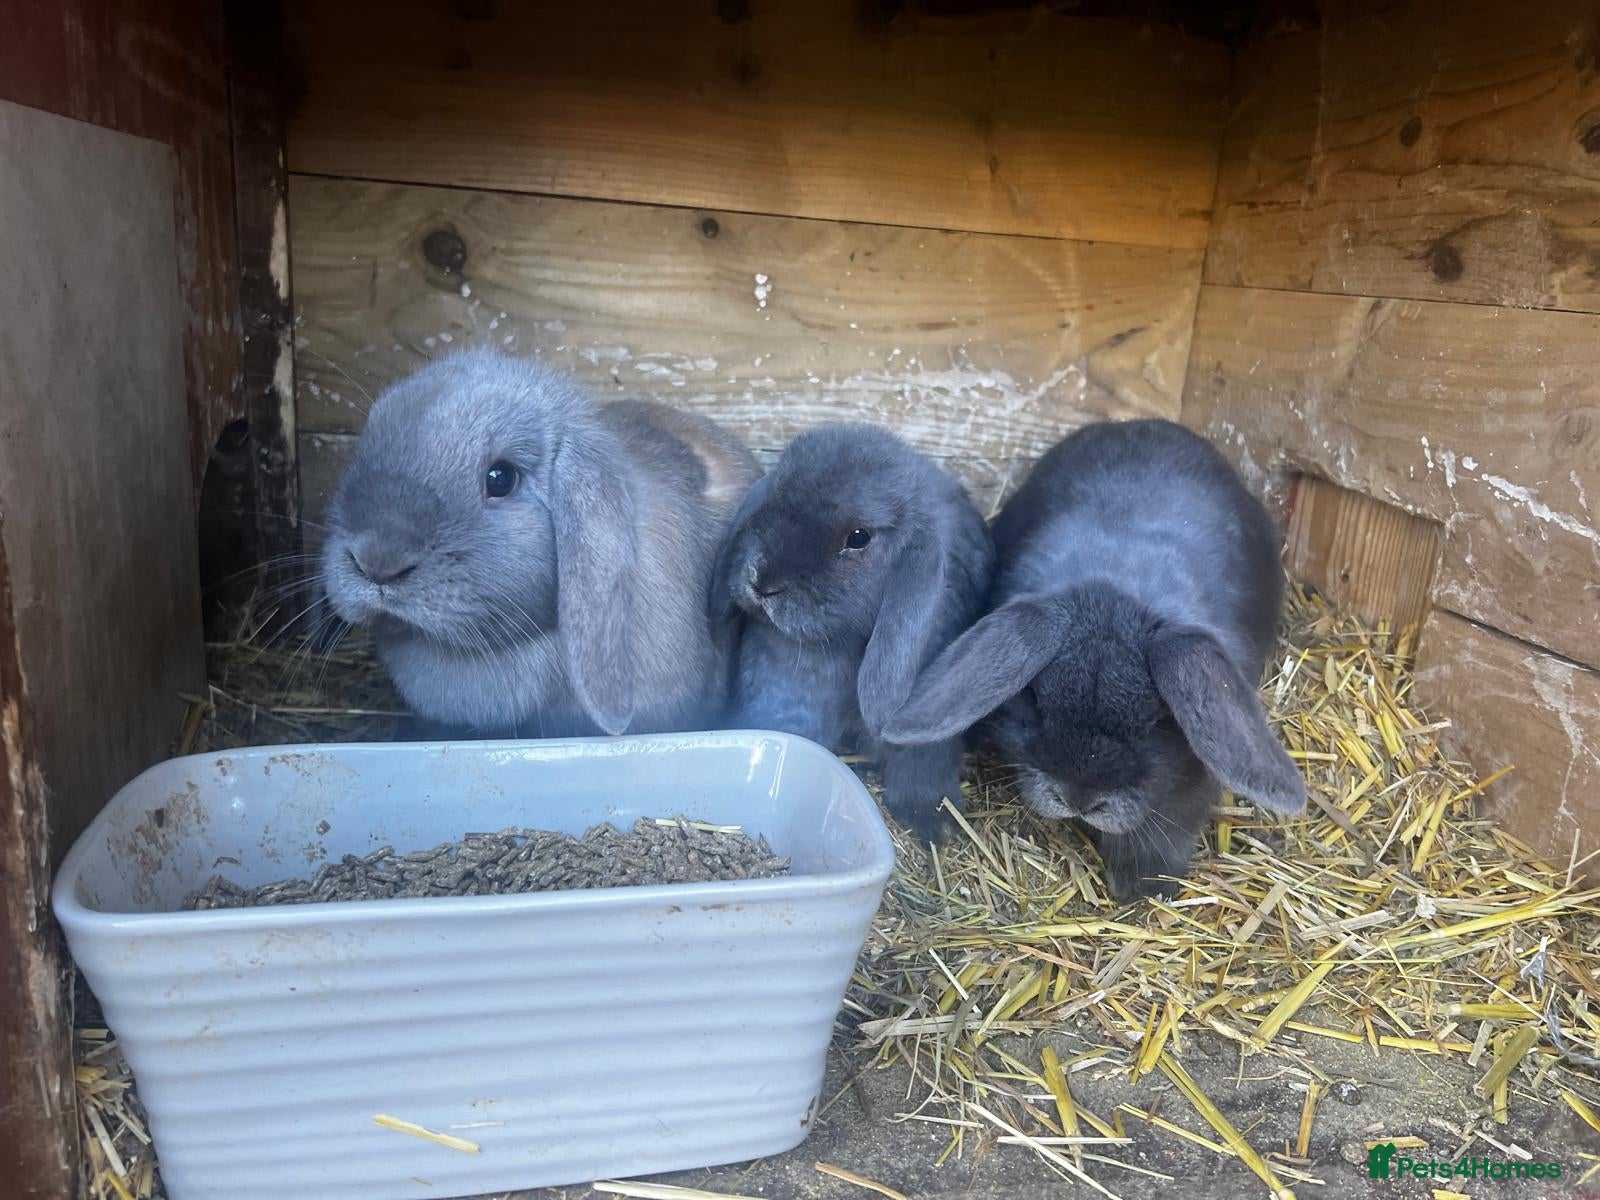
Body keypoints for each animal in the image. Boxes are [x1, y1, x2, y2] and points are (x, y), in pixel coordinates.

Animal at [711, 424, 996, 840]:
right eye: (774, 496)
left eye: (859, 537)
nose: (761, 582)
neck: (845, 645)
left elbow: (921, 766)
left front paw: (933, 822)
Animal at [883, 419, 1305, 897]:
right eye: (1036, 705)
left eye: (1155, 724)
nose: (1079, 800)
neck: (1121, 588)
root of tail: (1147, 424)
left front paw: (1147, 887)